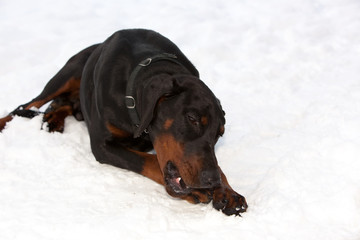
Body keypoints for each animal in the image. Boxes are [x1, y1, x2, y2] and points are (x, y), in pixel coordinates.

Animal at [0, 29, 248, 217]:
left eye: (219, 133)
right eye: (192, 118)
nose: (210, 180)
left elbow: (215, 163)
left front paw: (227, 191)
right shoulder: (102, 146)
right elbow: (148, 160)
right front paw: (194, 191)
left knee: (61, 104)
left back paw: (53, 118)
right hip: (67, 74)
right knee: (25, 106)